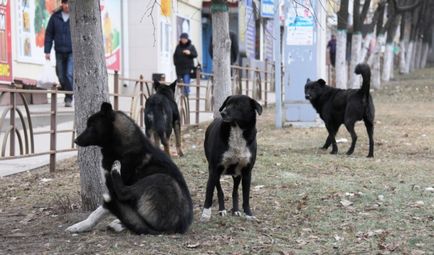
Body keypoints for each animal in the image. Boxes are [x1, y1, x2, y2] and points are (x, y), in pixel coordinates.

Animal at [65, 102, 192, 234]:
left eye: (91, 126)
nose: (75, 140)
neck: (124, 147)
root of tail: (175, 227)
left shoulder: (113, 191)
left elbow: (98, 211)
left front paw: (82, 225)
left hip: (161, 179)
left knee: (124, 193)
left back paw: (116, 170)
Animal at [199, 94, 262, 222]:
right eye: (227, 104)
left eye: (238, 105)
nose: (222, 113)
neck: (236, 129)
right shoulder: (214, 170)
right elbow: (209, 193)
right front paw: (206, 215)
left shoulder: (247, 172)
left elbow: (246, 196)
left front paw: (248, 214)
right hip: (215, 172)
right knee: (219, 191)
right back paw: (222, 210)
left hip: (237, 174)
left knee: (235, 191)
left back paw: (236, 210)